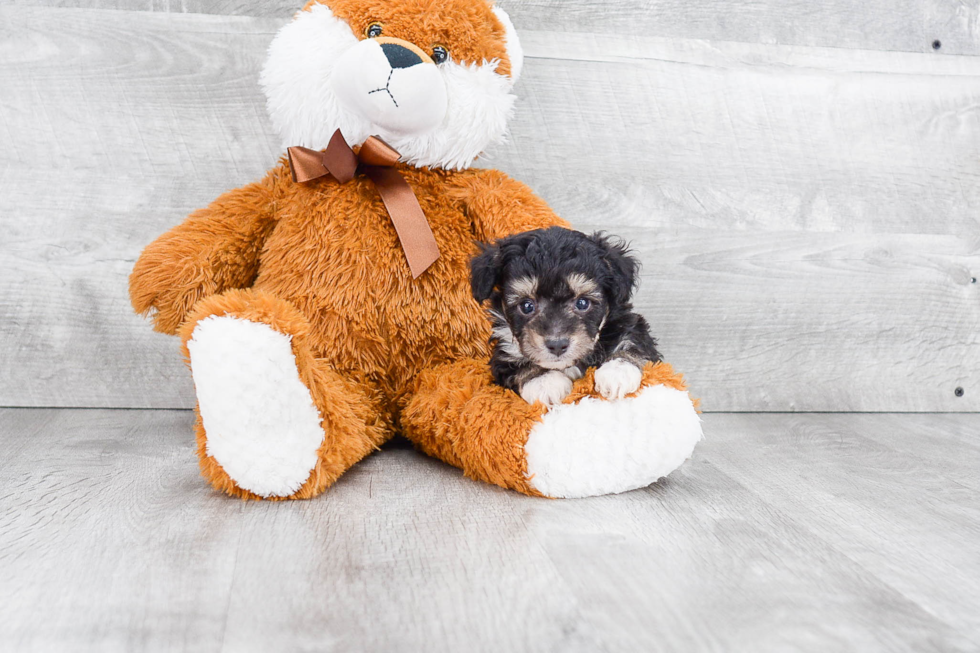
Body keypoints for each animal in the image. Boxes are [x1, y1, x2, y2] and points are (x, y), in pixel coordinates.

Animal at [470, 227, 664, 404]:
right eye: (526, 306)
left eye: (582, 303)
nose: (557, 345)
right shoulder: (503, 351)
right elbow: (513, 363)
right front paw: (544, 382)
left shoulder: (626, 322)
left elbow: (632, 339)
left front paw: (617, 371)